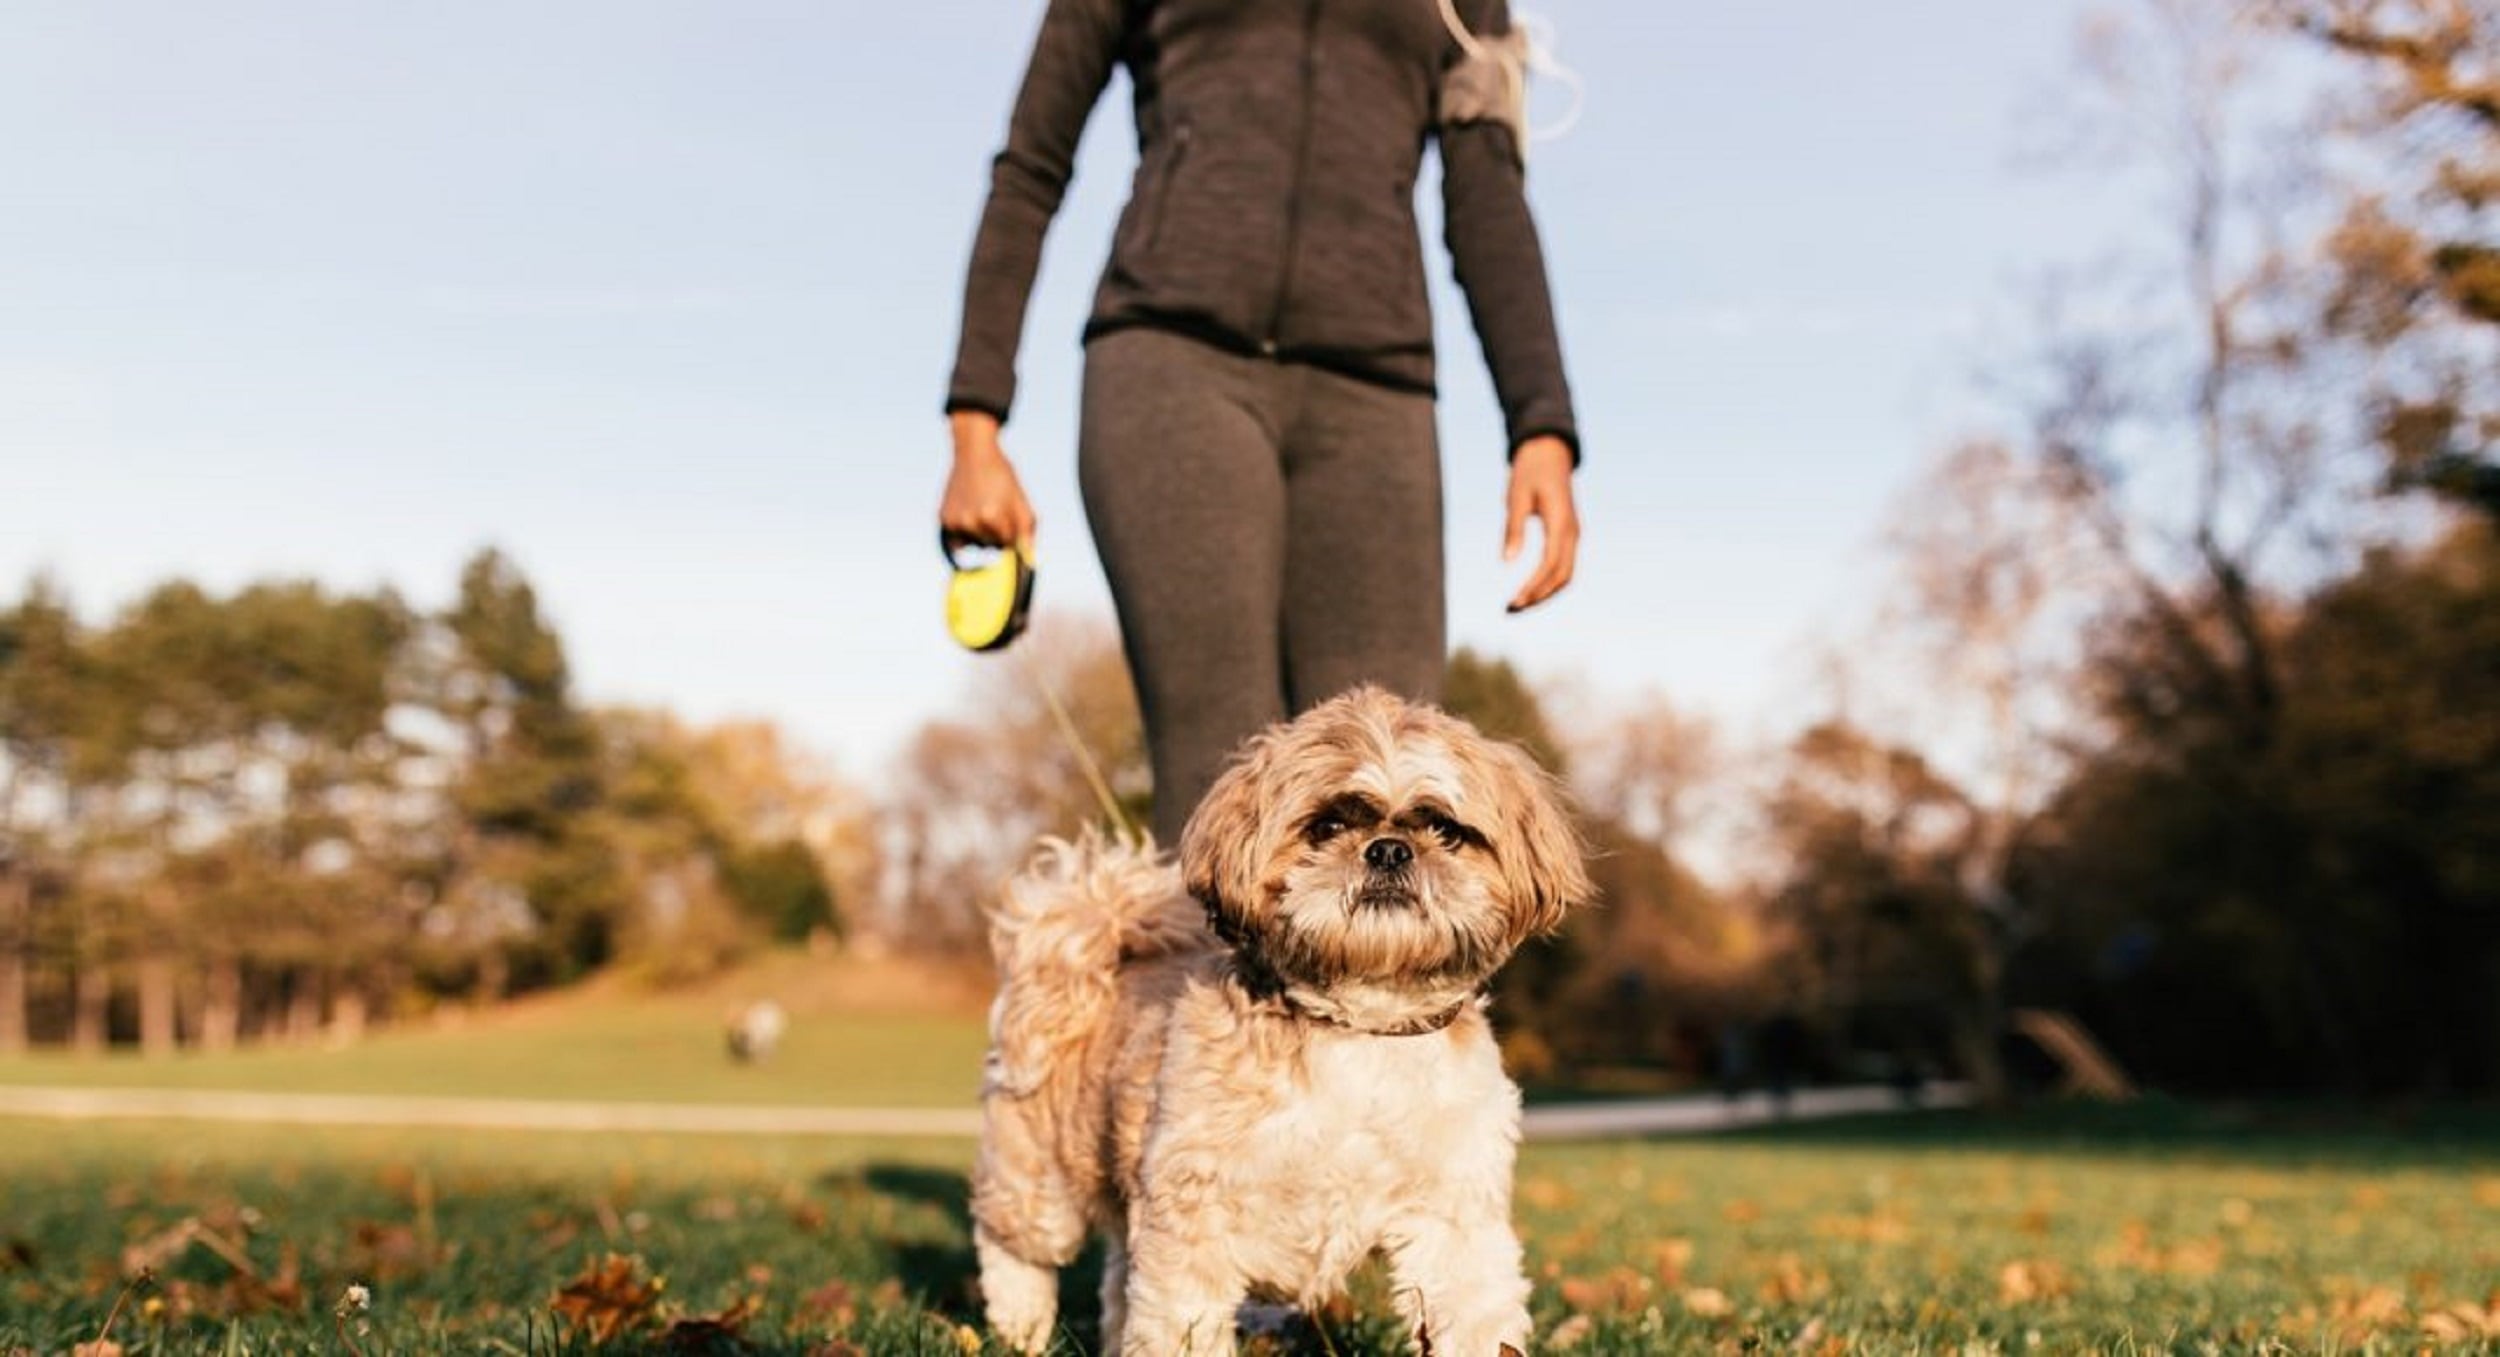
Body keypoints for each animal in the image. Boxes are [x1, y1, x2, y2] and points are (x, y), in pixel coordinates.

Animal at [970, 689, 1580, 1357]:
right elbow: (1181, 1322)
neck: (1360, 1028)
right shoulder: (1193, 1210)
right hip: (1042, 1181)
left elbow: (1473, 1317)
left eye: (1445, 829)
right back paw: (1020, 1328)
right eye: (1327, 827)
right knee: (1013, 1247)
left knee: (1116, 1280)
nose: (1389, 848)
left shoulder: (1455, 1217)